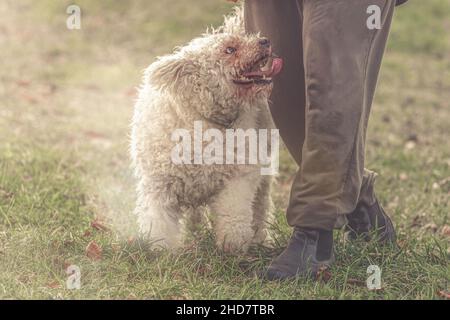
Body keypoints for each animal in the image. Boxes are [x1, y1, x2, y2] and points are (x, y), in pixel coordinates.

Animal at [132, 8, 284, 252]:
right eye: (229, 49)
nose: (264, 41)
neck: (202, 121)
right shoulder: (160, 185)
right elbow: (160, 221)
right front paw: (160, 250)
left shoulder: (238, 178)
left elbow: (234, 214)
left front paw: (233, 245)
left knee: (260, 205)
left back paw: (260, 238)